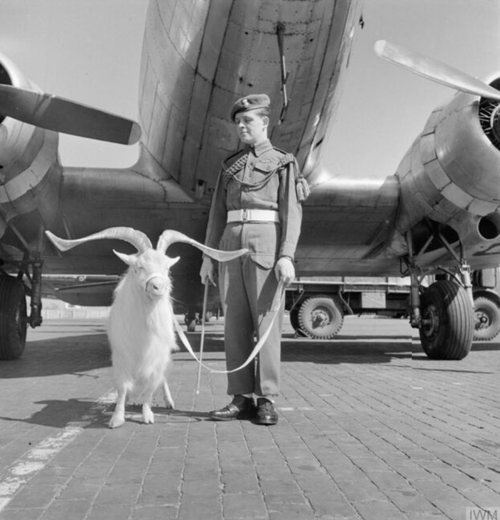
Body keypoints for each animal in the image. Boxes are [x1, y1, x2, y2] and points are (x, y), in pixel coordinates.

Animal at [47, 226, 246, 426]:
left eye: (167, 268)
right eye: (138, 268)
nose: (158, 287)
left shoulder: (157, 355)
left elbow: (151, 386)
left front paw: (147, 415)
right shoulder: (122, 355)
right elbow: (122, 387)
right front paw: (117, 418)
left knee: (162, 379)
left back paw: (168, 401)